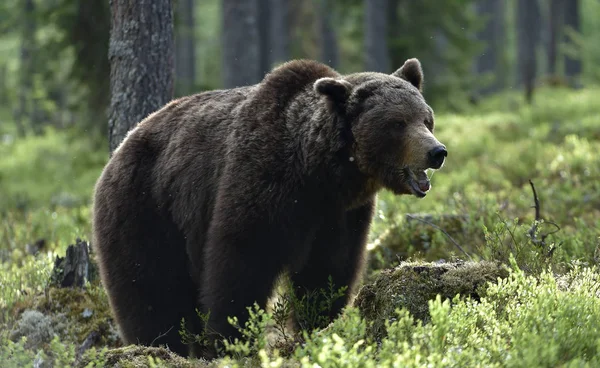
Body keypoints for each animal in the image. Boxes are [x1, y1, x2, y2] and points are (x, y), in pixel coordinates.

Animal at [90, 57, 446, 356]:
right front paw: (231, 339)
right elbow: (241, 262)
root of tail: (120, 146)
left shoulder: (339, 215)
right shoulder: (262, 182)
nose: (437, 152)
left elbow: (328, 270)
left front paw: (318, 325)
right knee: (149, 286)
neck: (319, 174)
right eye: (397, 123)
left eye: (426, 119)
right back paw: (157, 345)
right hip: (144, 206)